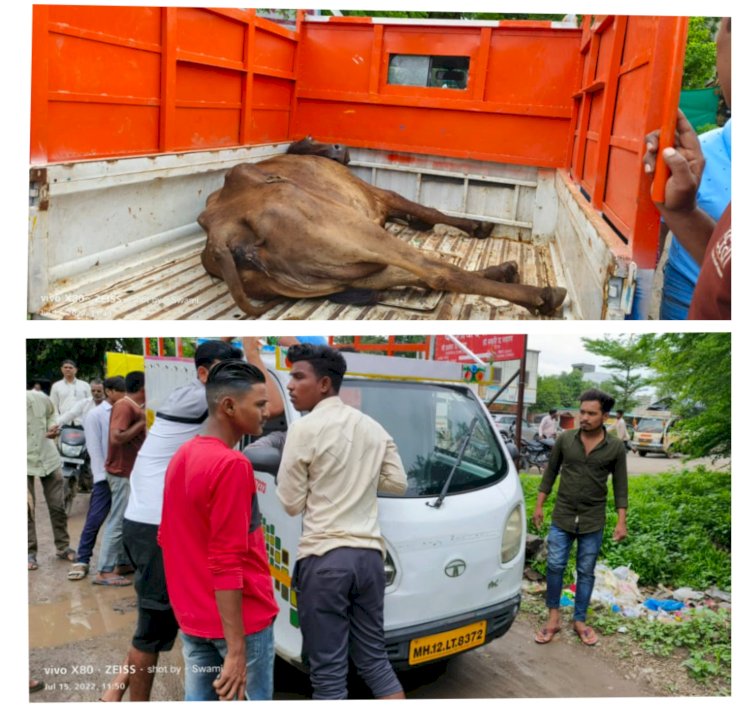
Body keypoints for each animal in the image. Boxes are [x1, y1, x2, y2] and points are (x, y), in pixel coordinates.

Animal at [197, 136, 568, 318]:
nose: (338, 147)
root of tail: (220, 237)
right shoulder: (380, 195)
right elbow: (427, 209)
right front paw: (475, 224)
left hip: (343, 267)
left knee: (419, 275)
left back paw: (504, 271)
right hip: (358, 232)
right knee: (436, 273)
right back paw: (540, 294)